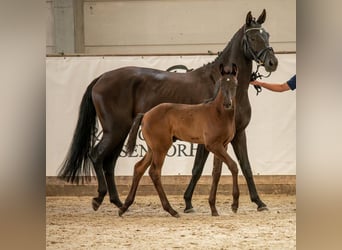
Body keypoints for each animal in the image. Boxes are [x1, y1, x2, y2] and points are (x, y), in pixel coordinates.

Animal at [120, 64, 240, 217]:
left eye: (235, 84)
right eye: (222, 83)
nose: (227, 104)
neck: (219, 114)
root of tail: (145, 114)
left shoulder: (223, 146)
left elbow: (216, 173)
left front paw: (213, 209)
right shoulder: (213, 145)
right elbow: (233, 166)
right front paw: (234, 205)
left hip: (152, 149)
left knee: (139, 168)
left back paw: (124, 207)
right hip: (161, 148)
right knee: (154, 172)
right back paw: (171, 210)